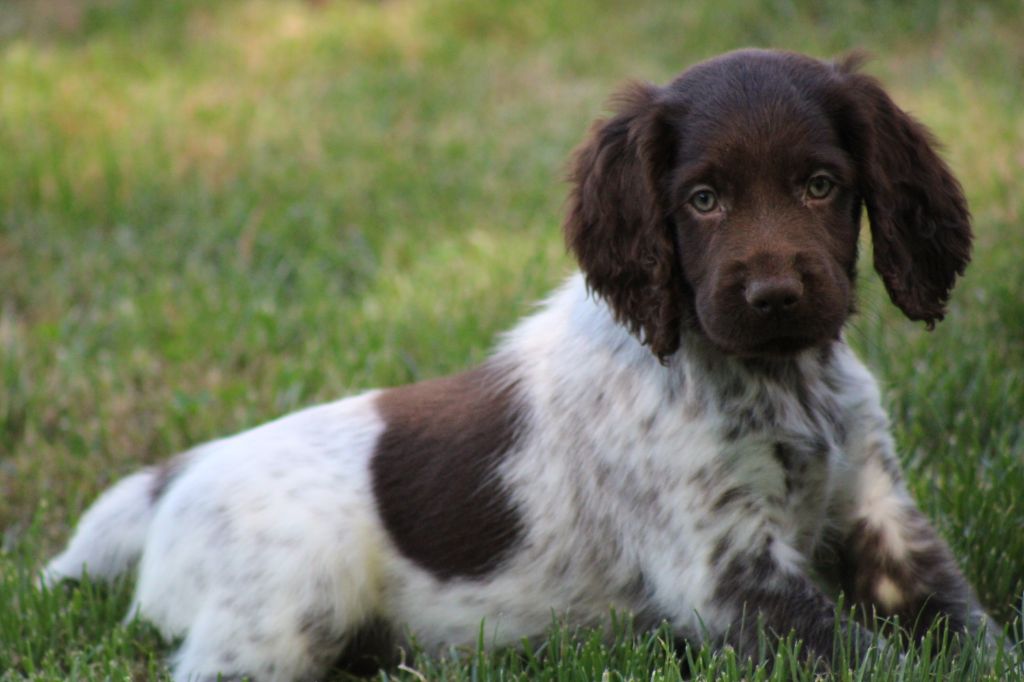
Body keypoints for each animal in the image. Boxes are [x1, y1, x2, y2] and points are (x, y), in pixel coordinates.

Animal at [46, 50, 991, 675]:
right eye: (702, 199)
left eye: (821, 186)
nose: (774, 296)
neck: (776, 379)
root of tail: (178, 474)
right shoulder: (727, 575)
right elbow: (879, 660)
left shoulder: (880, 518)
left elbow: (972, 632)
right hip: (284, 613)